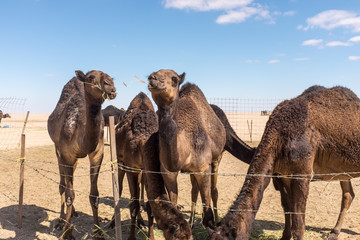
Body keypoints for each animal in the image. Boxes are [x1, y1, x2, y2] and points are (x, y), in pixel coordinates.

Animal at [47, 70, 116, 239]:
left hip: (75, 160)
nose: (110, 85)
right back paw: (61, 221)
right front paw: (67, 232)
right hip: (58, 150)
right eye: (91, 77)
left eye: (110, 77)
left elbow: (94, 195)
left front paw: (98, 232)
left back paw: (73, 213)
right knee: (63, 185)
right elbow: (69, 194)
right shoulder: (66, 154)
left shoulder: (97, 153)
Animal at [114, 91, 158, 238]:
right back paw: (113, 223)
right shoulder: (131, 167)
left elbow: (149, 204)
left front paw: (151, 236)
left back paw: (141, 222)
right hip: (121, 163)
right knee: (120, 188)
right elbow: (133, 204)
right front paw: (131, 237)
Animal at [148, 68, 226, 228]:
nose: (153, 78)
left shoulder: (203, 168)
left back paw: (216, 220)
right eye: (152, 74)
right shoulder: (167, 171)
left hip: (217, 158)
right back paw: (190, 221)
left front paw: (212, 224)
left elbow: (207, 210)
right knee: (194, 190)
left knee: (214, 190)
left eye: (174, 79)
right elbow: (173, 202)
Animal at [210, 86, 360, 240]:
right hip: (343, 169)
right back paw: (333, 232)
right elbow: (287, 208)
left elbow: (299, 224)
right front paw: (285, 236)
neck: (279, 135)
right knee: (348, 194)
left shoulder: (302, 174)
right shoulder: (282, 175)